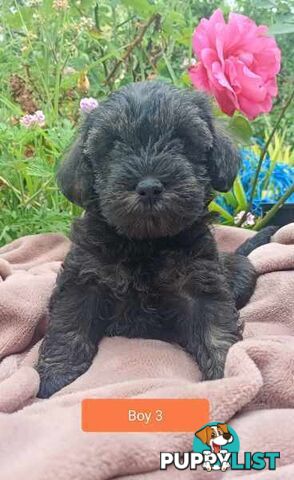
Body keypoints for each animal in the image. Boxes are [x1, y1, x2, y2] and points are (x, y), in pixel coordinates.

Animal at [36, 81, 274, 398]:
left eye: (182, 140)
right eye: (114, 145)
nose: (149, 187)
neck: (145, 242)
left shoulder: (199, 284)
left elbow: (215, 328)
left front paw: (229, 373)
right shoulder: (84, 277)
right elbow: (69, 325)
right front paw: (55, 377)